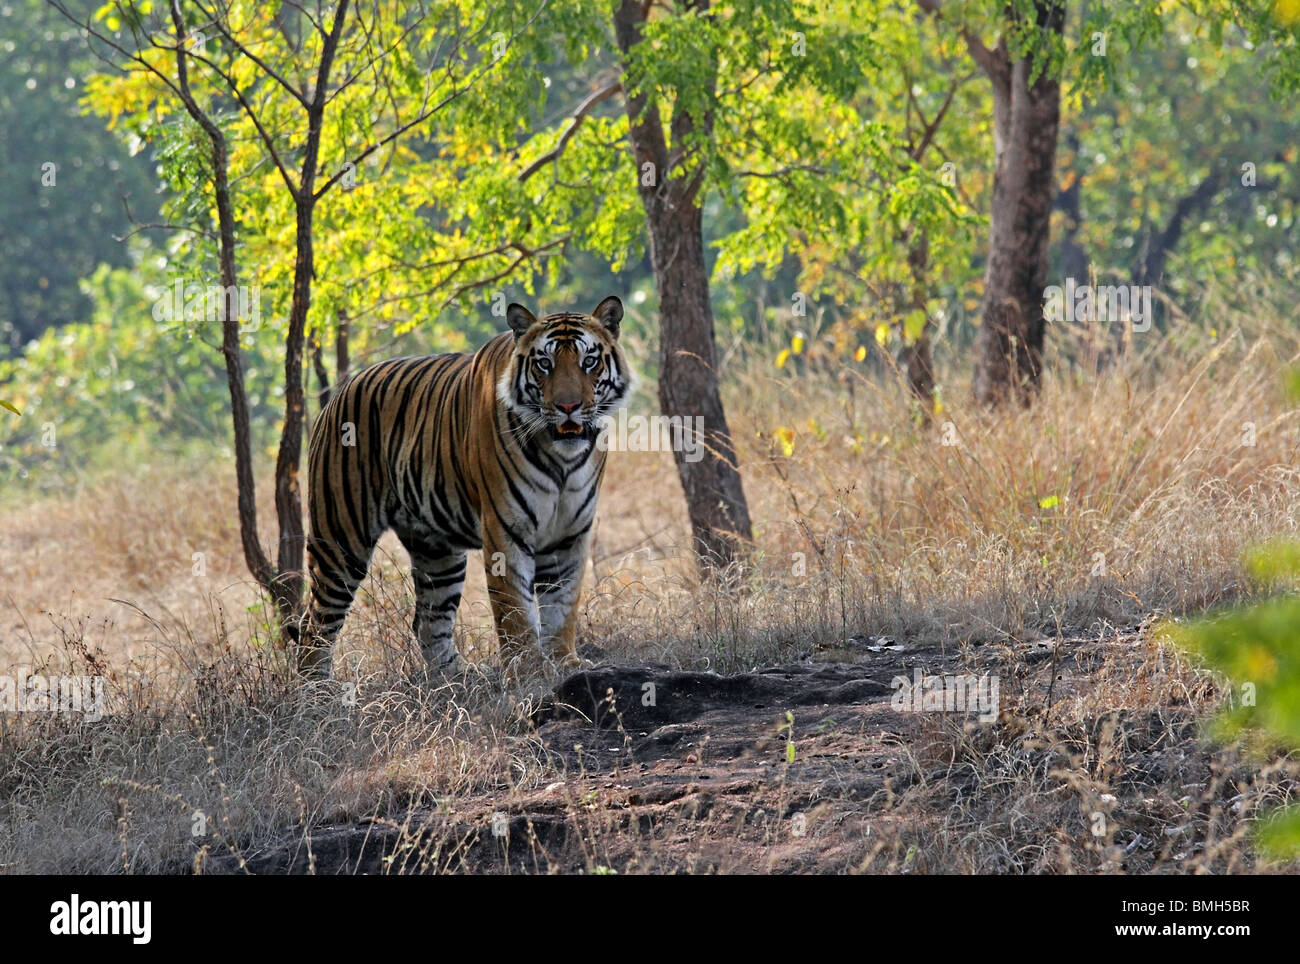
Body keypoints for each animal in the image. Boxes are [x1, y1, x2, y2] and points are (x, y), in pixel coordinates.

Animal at [300, 298, 634, 685]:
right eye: (544, 364)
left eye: (589, 362)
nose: (568, 407)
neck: (561, 457)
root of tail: (340, 390)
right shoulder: (507, 530)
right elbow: (515, 610)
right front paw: (529, 671)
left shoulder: (570, 533)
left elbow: (563, 605)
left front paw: (564, 661)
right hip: (340, 540)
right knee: (315, 624)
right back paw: (319, 693)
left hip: (437, 551)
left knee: (428, 622)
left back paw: (457, 680)